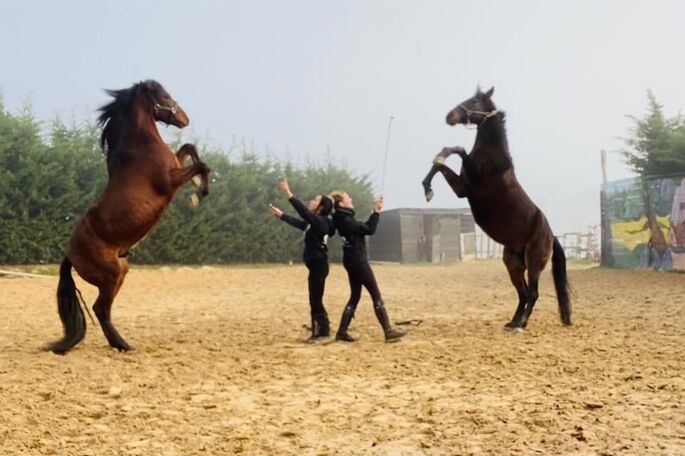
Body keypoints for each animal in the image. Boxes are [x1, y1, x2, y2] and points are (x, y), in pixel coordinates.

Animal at [47, 80, 211, 354]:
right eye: (165, 95)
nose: (184, 119)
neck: (140, 147)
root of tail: (70, 255)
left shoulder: (175, 165)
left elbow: (189, 148)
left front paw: (198, 185)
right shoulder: (169, 180)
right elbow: (201, 165)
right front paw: (199, 193)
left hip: (122, 270)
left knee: (103, 310)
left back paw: (119, 343)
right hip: (111, 275)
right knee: (100, 309)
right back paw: (123, 344)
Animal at [422, 87, 571, 331]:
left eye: (474, 101)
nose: (449, 116)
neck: (492, 155)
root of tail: (551, 236)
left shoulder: (467, 185)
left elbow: (457, 150)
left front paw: (434, 172)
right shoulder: (462, 186)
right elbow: (441, 163)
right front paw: (427, 189)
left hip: (534, 262)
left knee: (533, 293)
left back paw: (521, 324)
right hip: (513, 263)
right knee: (523, 293)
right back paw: (513, 321)